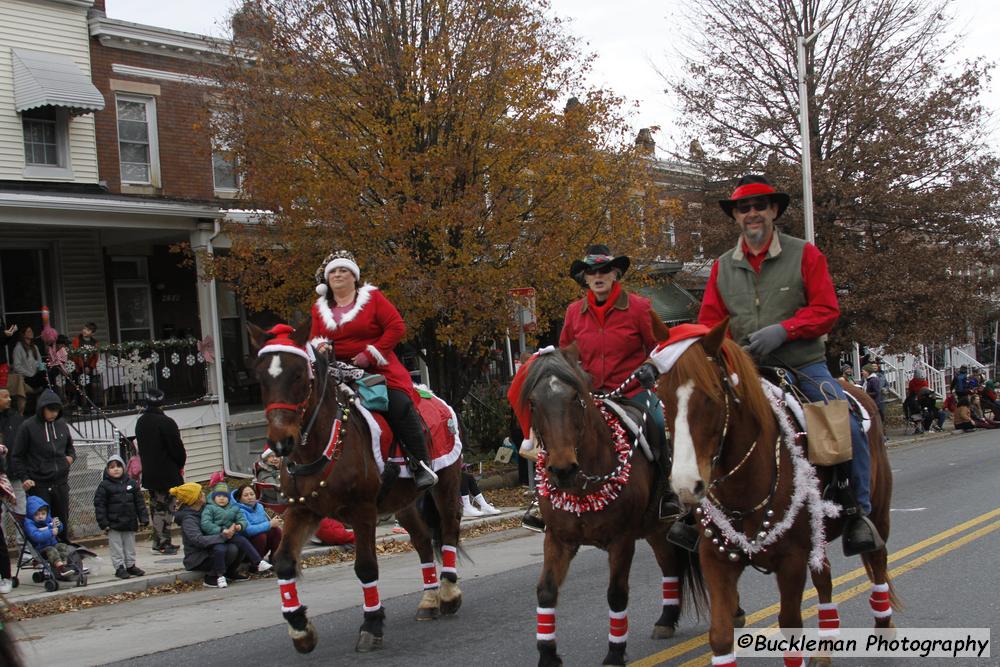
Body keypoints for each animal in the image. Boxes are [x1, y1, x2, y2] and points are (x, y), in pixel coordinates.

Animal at [250, 320, 468, 656]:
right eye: (260, 377)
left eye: (298, 375)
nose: (280, 442)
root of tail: (433, 395)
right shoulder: (303, 509)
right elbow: (284, 562)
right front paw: (300, 629)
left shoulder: (362, 509)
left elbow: (366, 567)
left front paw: (372, 625)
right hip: (402, 502)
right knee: (421, 540)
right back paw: (429, 599)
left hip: (446, 481)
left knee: (449, 529)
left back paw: (447, 592)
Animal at [516, 344, 696, 667]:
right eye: (533, 403)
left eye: (575, 397)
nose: (562, 469)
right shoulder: (558, 539)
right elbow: (546, 592)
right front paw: (548, 655)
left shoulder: (621, 541)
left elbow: (616, 594)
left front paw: (614, 653)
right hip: (656, 529)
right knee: (670, 565)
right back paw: (666, 619)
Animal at [652, 320, 896, 664]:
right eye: (661, 397)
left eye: (711, 397)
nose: (687, 485)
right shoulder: (716, 559)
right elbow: (721, 635)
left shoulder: (790, 562)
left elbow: (790, 626)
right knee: (825, 579)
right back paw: (825, 646)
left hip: (879, 515)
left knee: (878, 564)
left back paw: (883, 630)